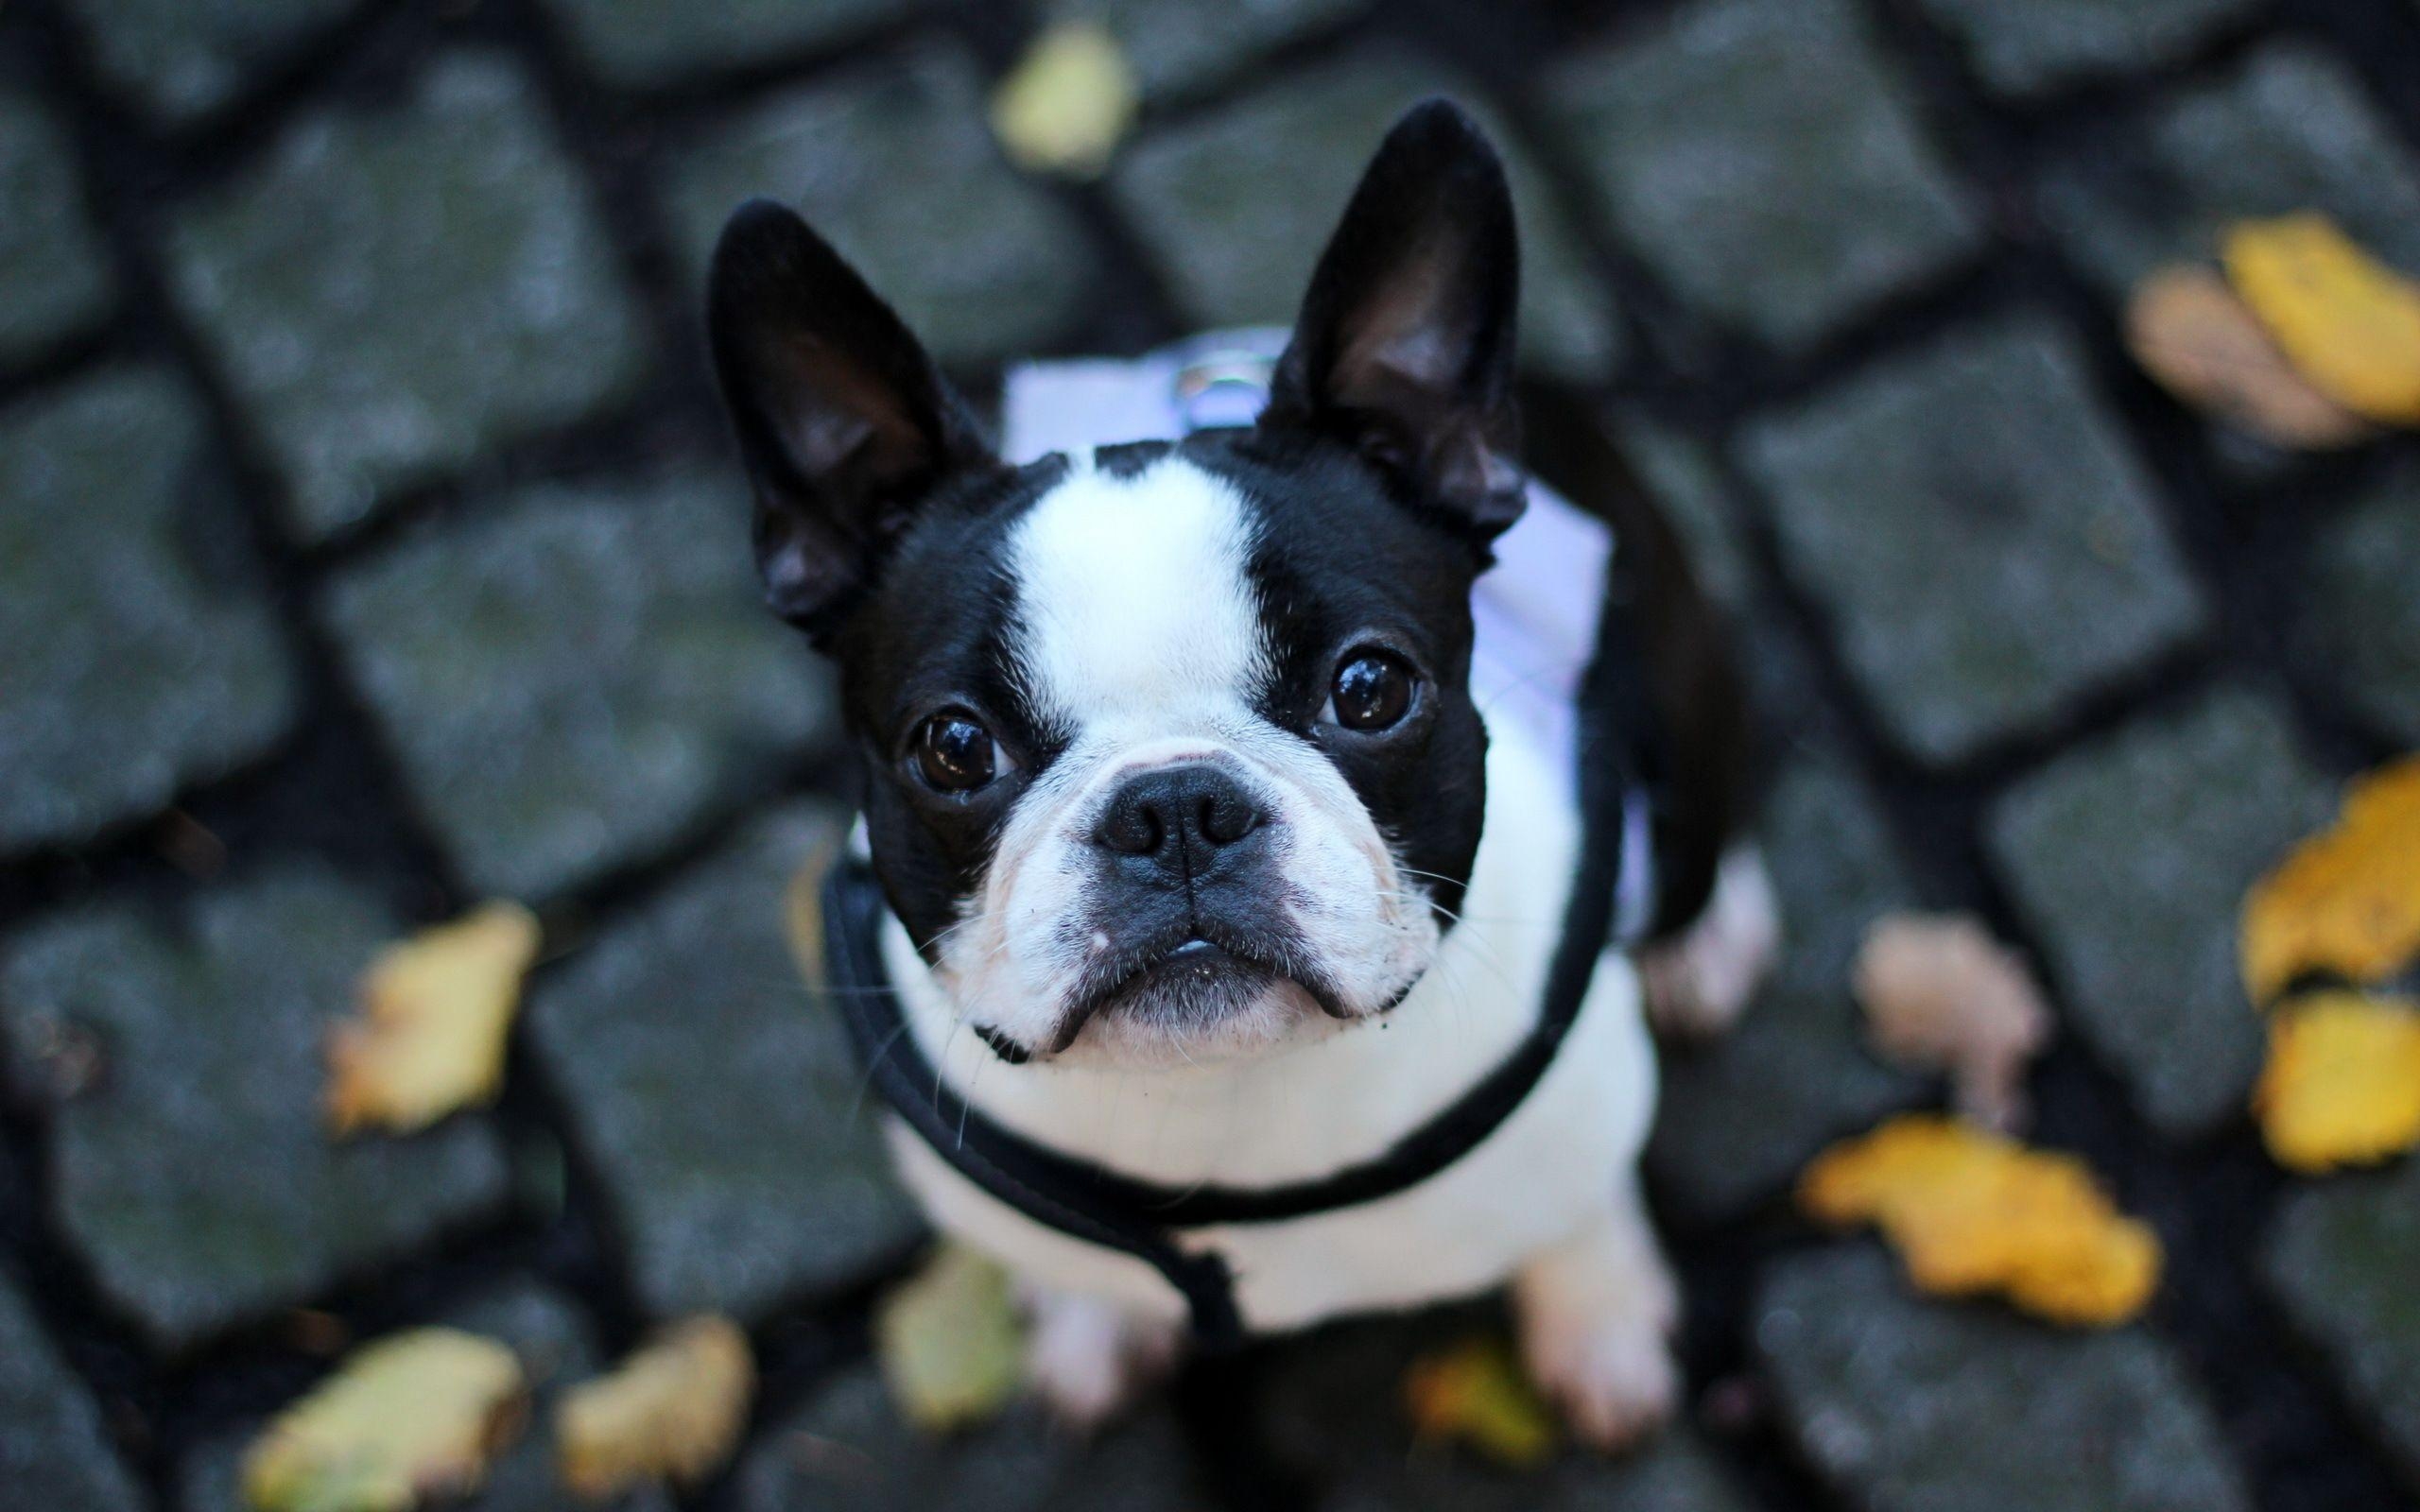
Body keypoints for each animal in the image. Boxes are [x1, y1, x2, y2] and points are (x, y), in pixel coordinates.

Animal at [701, 100, 1781, 1441]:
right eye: (953, 748)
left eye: (1369, 688)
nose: (1172, 806)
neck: (1230, 1100)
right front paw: (1094, 1324)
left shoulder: (1579, 1102)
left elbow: (1579, 1211)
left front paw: (1600, 1321)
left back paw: (1706, 942)